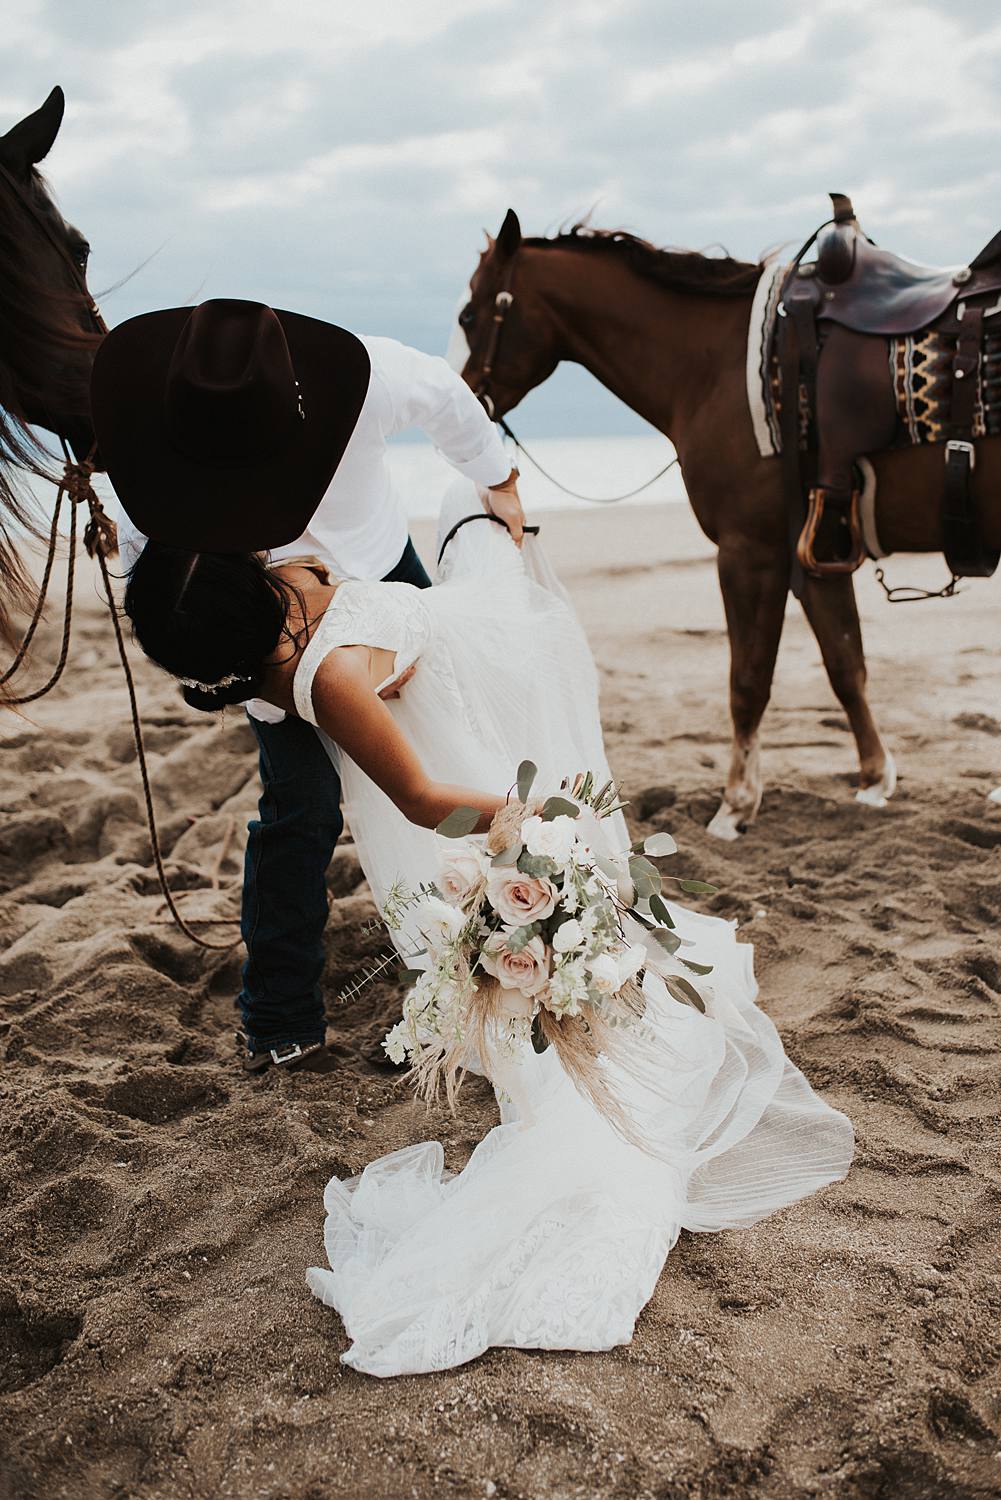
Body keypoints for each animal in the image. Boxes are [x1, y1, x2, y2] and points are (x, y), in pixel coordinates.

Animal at [453, 210, 1001, 840]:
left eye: (469, 316)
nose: (467, 398)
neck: (714, 365)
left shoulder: (750, 552)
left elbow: (748, 681)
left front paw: (736, 805)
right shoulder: (814, 554)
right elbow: (846, 665)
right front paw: (873, 780)